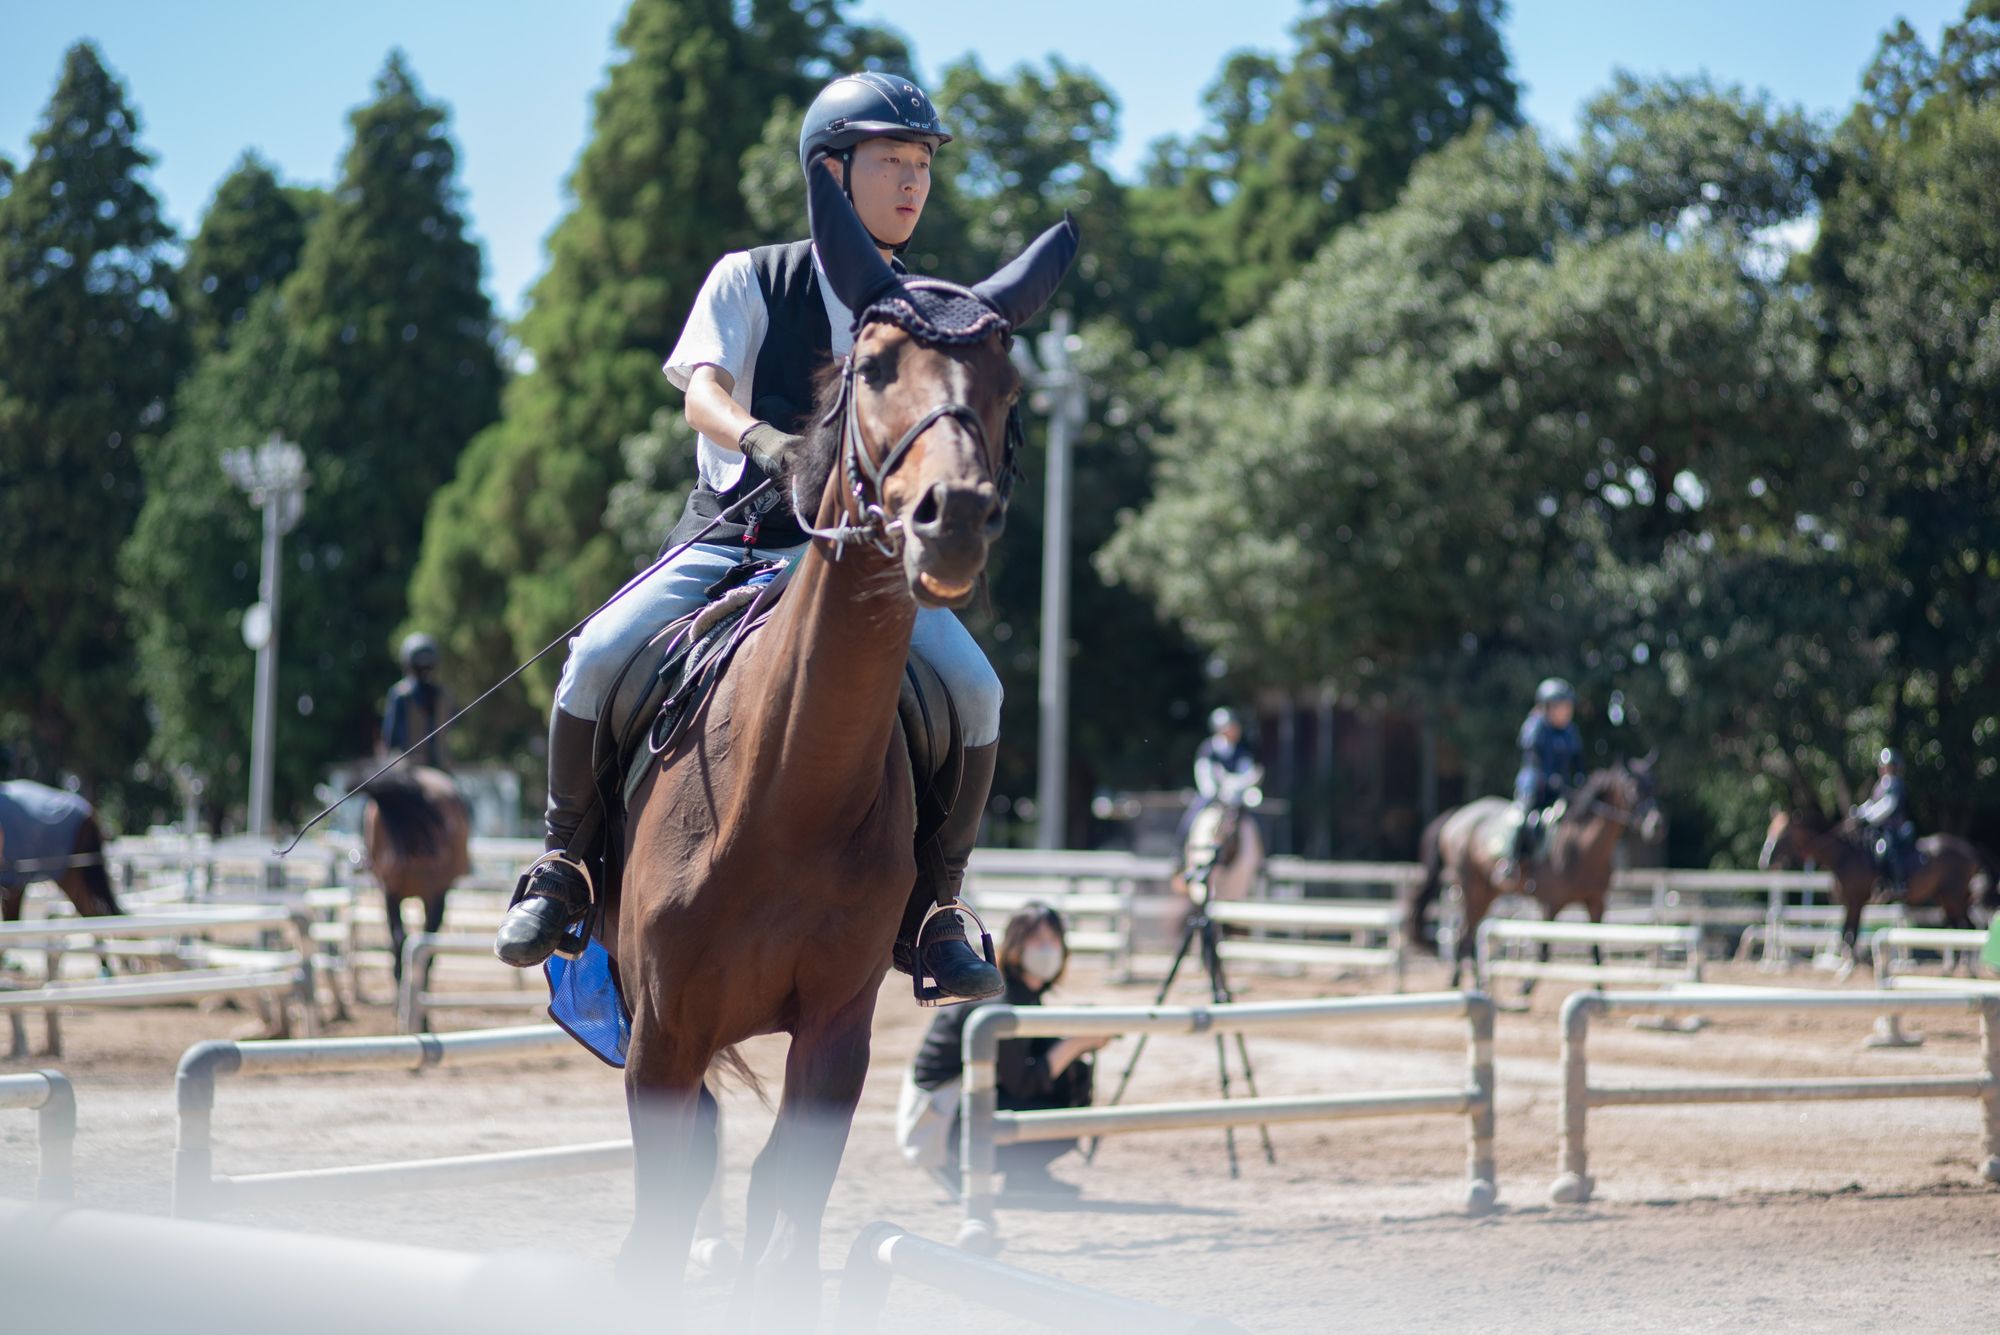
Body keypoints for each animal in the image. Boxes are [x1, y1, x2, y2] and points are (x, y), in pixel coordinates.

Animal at [599, 169, 1076, 1319]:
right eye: (873, 367)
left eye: (1011, 384)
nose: (954, 516)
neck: (785, 791)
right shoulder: (660, 1033)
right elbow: (667, 1204)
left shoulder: (834, 1037)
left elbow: (784, 1210)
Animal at [1405, 756, 1662, 990]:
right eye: (1633, 788)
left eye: (1654, 786)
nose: (1656, 825)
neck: (1581, 846)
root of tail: (1458, 815)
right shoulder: (1550, 903)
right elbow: (1544, 948)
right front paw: (1526, 987)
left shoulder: (1596, 902)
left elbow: (1596, 948)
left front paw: (1599, 990)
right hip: (1471, 888)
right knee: (1464, 933)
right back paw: (1460, 981)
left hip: (1487, 892)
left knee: (1470, 932)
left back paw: (1476, 983)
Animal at [1758, 808, 1993, 962]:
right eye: (1769, 830)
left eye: (1783, 834)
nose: (1765, 861)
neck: (1844, 856)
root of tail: (1971, 850)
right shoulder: (1848, 904)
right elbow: (1845, 933)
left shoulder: (1856, 902)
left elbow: (1850, 936)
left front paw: (1849, 965)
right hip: (1946, 898)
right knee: (1961, 927)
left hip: (1953, 898)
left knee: (1967, 927)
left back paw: (1967, 966)